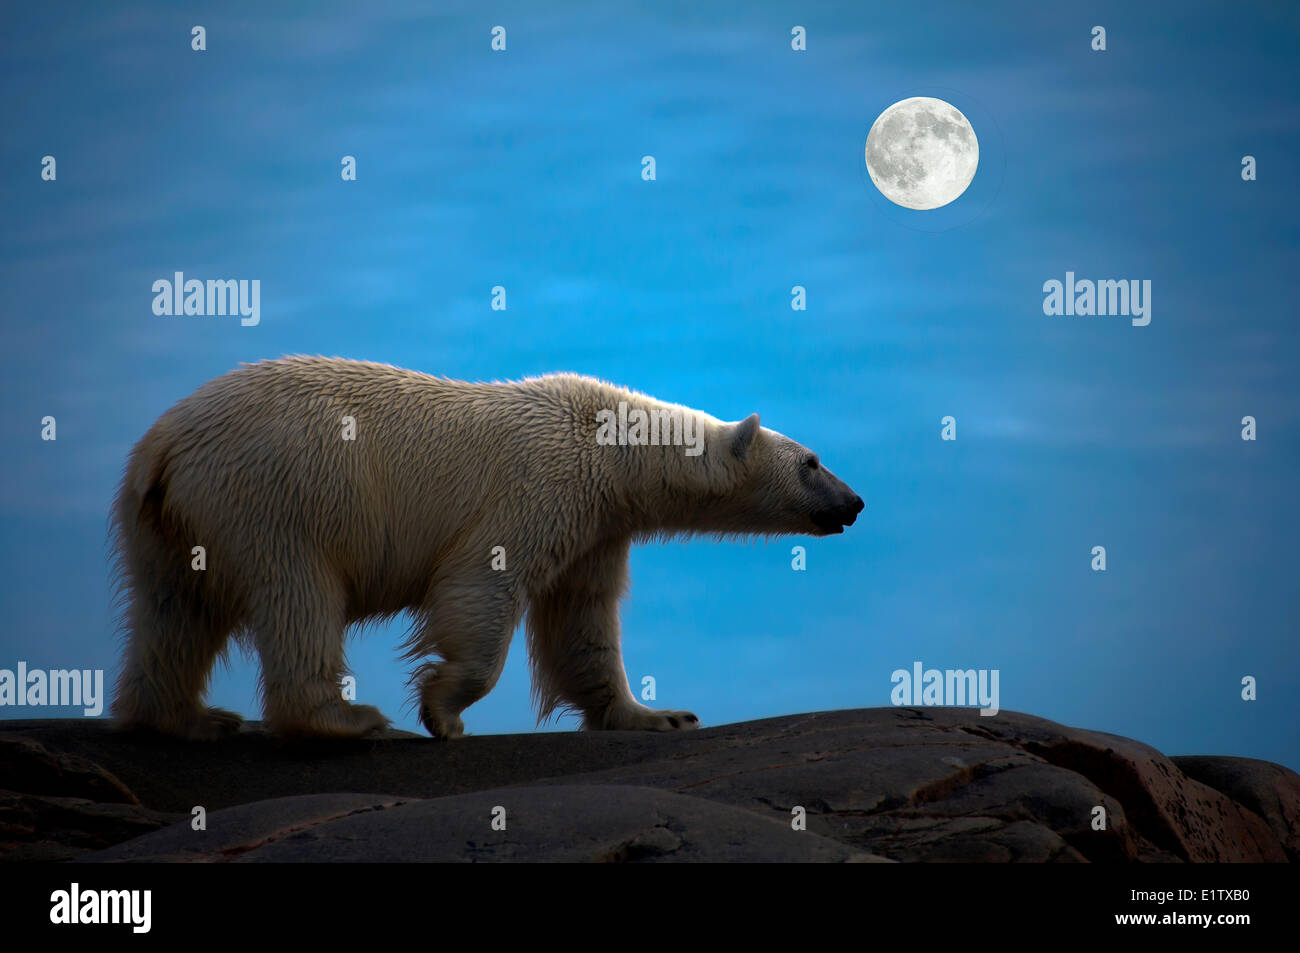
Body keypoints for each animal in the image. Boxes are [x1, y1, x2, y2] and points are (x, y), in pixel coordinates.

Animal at [111, 356, 863, 738]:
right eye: (814, 462)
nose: (855, 503)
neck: (608, 440)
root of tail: (164, 446)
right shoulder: (542, 484)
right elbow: (482, 587)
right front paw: (442, 710)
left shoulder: (598, 522)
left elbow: (582, 617)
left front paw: (659, 714)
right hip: (277, 493)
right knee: (299, 595)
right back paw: (346, 718)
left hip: (173, 521)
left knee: (174, 611)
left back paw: (187, 716)